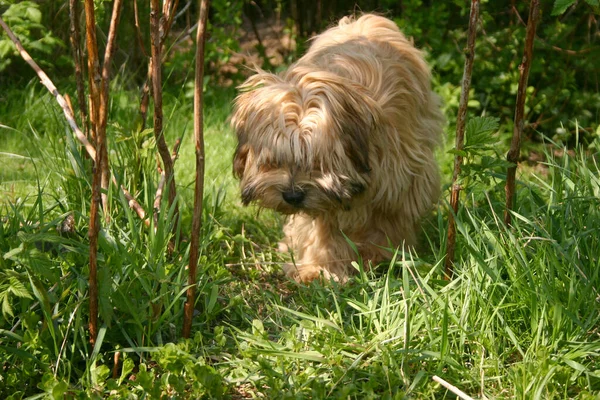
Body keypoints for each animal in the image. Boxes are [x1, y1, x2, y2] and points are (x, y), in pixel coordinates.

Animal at [232, 14, 442, 282]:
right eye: (273, 159)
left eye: (318, 160)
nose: (292, 196)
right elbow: (321, 227)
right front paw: (318, 267)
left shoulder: (404, 178)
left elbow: (389, 220)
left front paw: (380, 254)